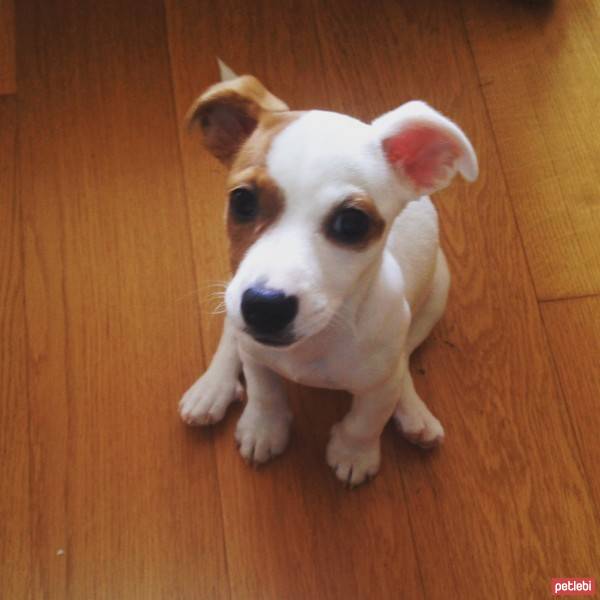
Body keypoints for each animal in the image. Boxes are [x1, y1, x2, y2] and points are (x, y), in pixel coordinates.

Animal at [179, 62, 478, 488]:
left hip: (436, 293)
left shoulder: (379, 382)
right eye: (242, 201)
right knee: (229, 335)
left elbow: (367, 418)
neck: (317, 340)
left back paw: (413, 410)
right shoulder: (254, 347)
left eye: (352, 223)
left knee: (405, 357)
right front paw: (263, 427)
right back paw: (212, 387)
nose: (264, 308)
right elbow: (264, 389)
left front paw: (354, 453)